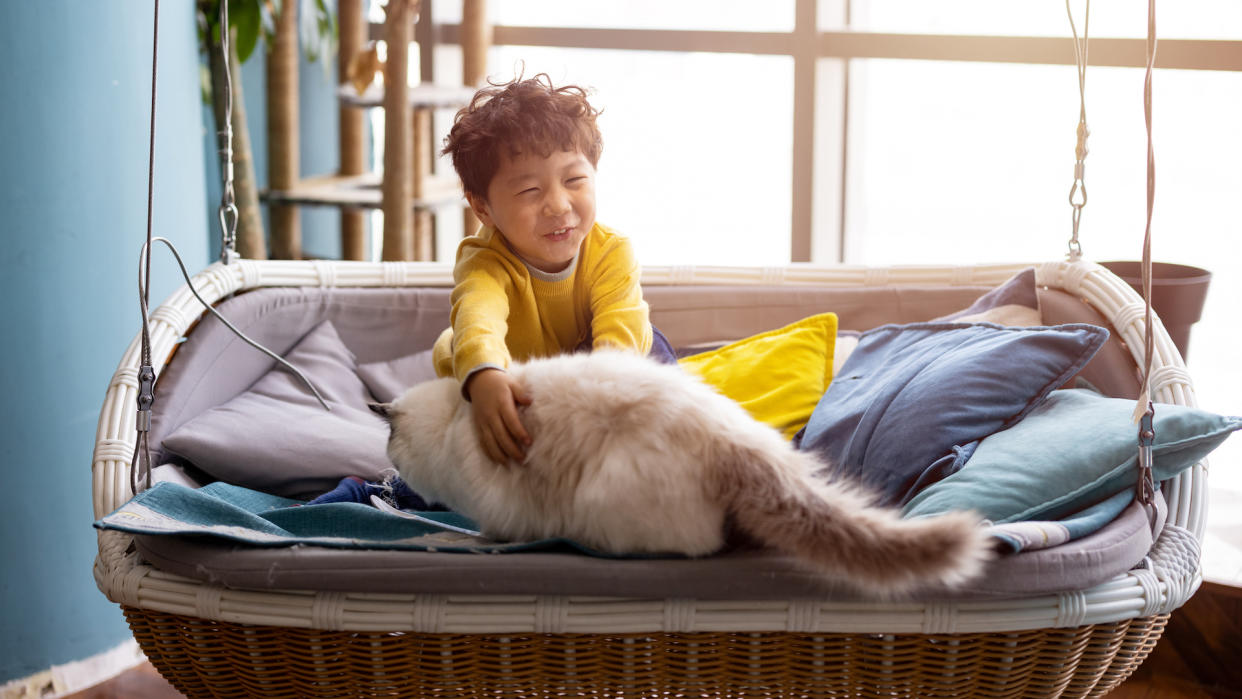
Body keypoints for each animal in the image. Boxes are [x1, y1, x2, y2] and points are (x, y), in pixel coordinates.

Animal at [367, 350, 988, 595]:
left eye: (394, 444)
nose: (389, 475)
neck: (457, 423)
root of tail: (735, 442)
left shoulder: (501, 511)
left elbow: (488, 533)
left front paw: (451, 536)